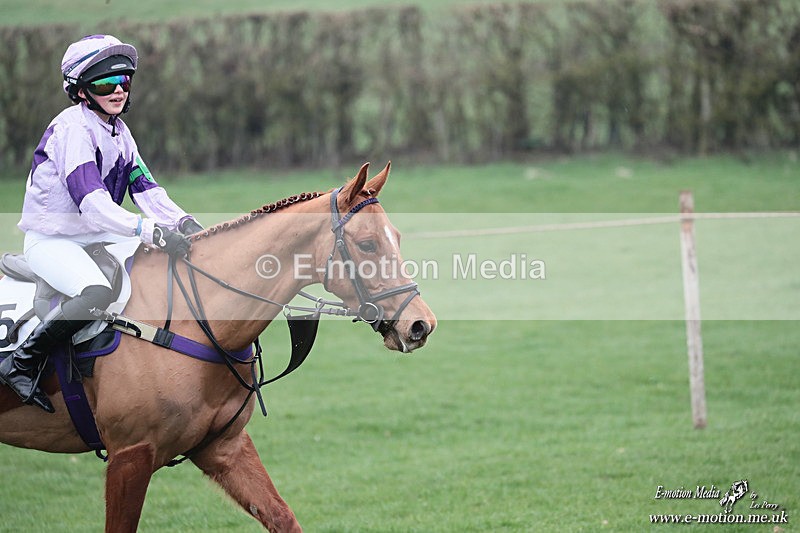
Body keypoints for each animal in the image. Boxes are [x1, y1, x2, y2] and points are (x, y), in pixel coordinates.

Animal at [0, 162, 436, 532]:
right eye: (367, 245)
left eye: (397, 238)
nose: (420, 324)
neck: (194, 321)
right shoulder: (130, 454)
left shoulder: (223, 447)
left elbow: (283, 517)